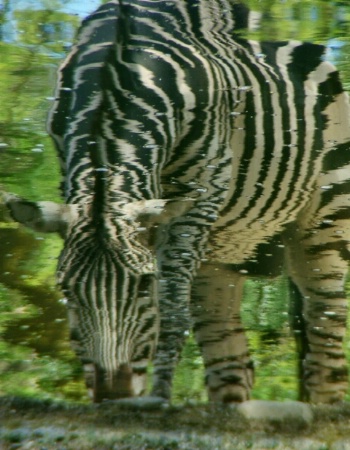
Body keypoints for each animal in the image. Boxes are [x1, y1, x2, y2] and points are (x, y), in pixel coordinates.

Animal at [4, 0, 350, 406]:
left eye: (143, 285)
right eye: (66, 290)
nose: (114, 395)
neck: (117, 70)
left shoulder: (202, 191)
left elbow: (170, 312)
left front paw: (160, 397)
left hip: (326, 220)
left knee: (325, 342)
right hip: (222, 256)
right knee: (233, 363)